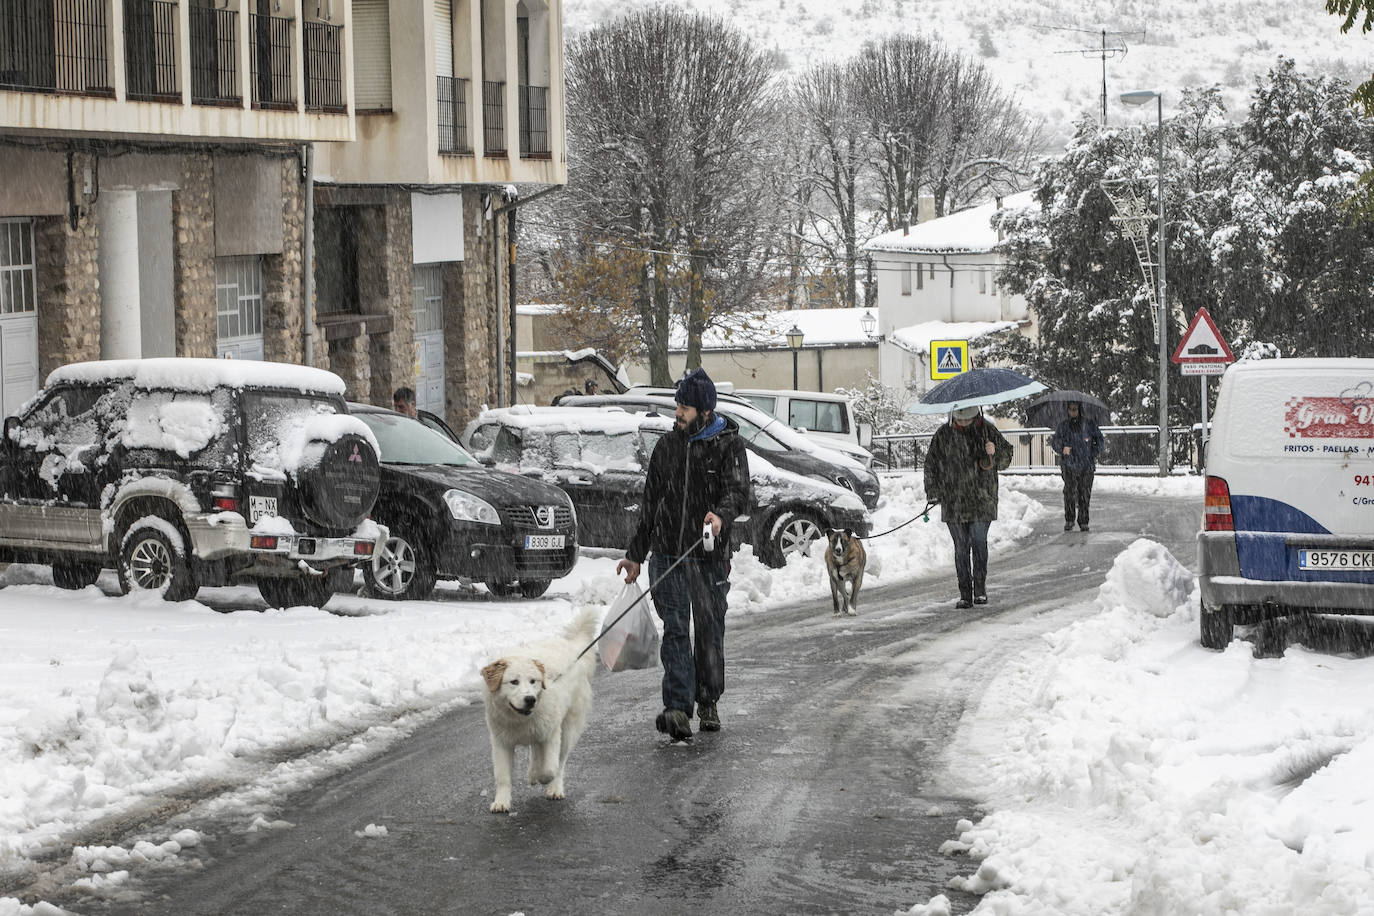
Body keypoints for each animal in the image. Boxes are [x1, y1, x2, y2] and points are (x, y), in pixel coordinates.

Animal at [480, 609, 599, 818]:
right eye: (514, 682)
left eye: (533, 681)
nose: (530, 699)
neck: (519, 719)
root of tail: (571, 647)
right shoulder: (501, 742)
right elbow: (502, 777)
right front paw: (501, 802)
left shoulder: (552, 734)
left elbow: (550, 767)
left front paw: (544, 778)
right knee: (535, 749)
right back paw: (532, 772)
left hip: (568, 729)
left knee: (560, 761)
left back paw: (553, 788)